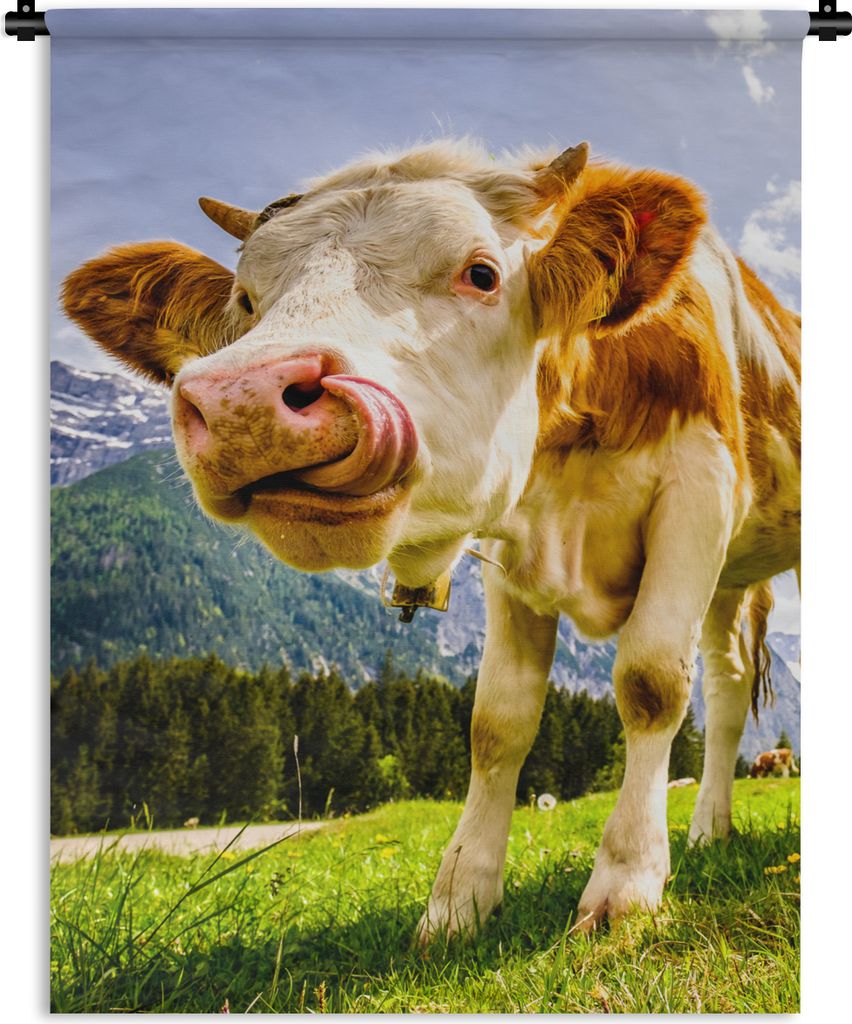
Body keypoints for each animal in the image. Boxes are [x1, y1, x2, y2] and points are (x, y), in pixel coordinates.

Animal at [61, 139, 800, 941]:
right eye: (245, 302)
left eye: (481, 274)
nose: (243, 401)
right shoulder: (512, 547)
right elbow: (497, 722)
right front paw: (458, 901)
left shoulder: (700, 489)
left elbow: (651, 682)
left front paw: (625, 886)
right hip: (730, 581)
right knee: (728, 688)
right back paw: (710, 829)